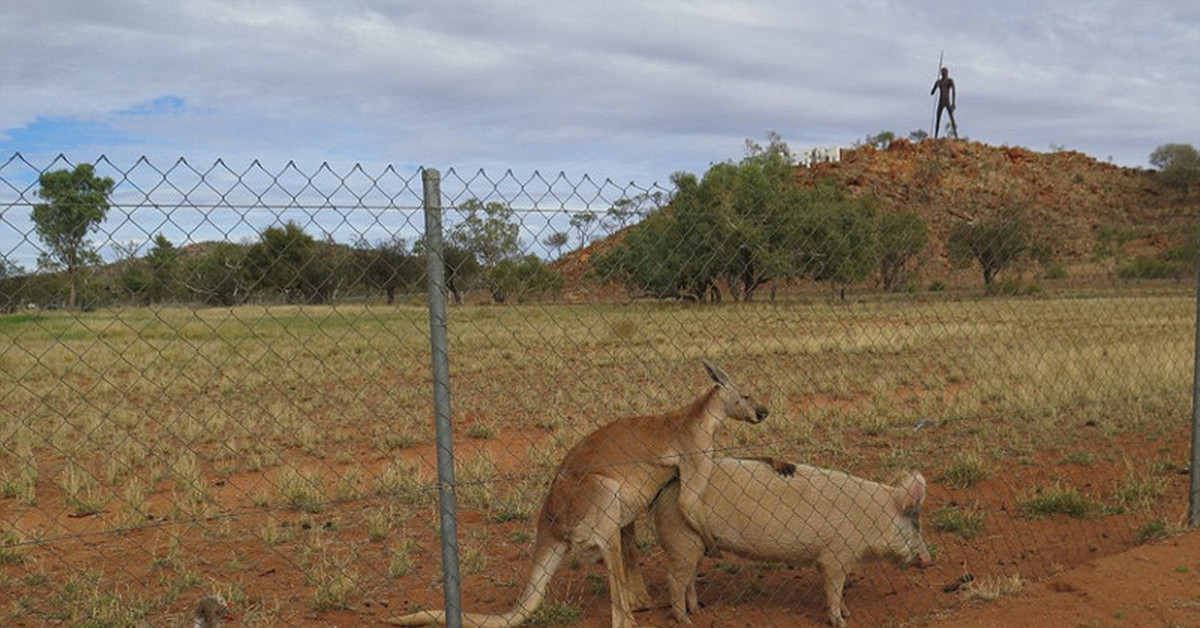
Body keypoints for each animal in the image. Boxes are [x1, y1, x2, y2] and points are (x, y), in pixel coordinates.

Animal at [652, 456, 931, 628]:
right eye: (916, 524)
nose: (929, 560)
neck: (873, 519)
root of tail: (666, 488)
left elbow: (839, 590)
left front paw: (848, 612)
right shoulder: (835, 556)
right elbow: (834, 589)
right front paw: (842, 622)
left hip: (694, 544)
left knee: (688, 578)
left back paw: (697, 610)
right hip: (681, 537)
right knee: (673, 579)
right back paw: (685, 620)